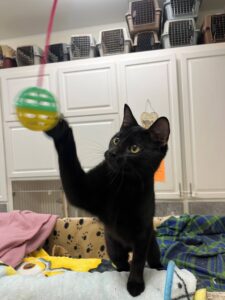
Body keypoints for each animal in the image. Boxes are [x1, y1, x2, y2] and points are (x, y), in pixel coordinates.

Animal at [45, 104, 170, 296]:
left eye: (134, 148)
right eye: (116, 140)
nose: (112, 153)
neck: (124, 185)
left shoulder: (143, 232)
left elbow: (138, 261)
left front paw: (135, 284)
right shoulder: (80, 189)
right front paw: (59, 128)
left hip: (152, 243)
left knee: (152, 259)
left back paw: (160, 268)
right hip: (113, 247)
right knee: (122, 263)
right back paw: (122, 270)